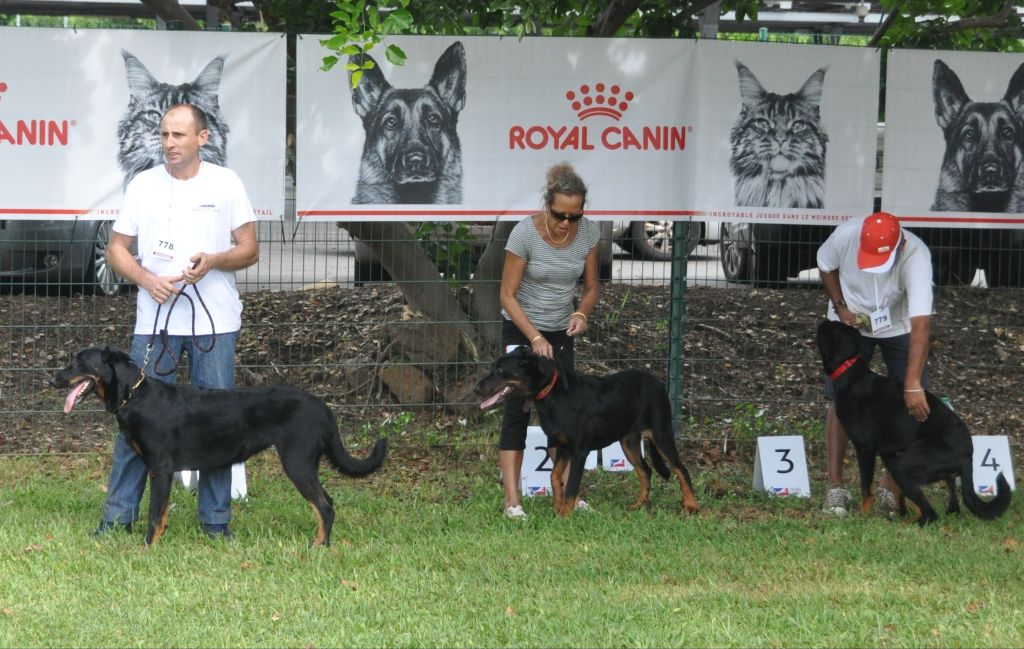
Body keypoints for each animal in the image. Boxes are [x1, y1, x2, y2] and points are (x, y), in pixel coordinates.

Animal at [51, 345, 387, 544]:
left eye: (78, 361)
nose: (53, 380)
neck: (134, 396)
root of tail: (323, 408)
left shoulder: (160, 468)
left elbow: (153, 515)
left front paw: (147, 548)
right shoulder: (162, 472)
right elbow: (162, 514)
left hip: (298, 462)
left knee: (325, 507)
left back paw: (319, 547)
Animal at [475, 345, 700, 517]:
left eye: (500, 370)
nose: (476, 389)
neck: (553, 395)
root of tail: (658, 382)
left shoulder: (579, 451)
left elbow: (571, 486)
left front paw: (564, 515)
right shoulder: (561, 445)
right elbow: (555, 477)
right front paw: (557, 508)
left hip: (661, 432)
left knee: (680, 468)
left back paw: (691, 506)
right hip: (628, 441)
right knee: (645, 470)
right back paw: (639, 505)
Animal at [815, 319, 1007, 524]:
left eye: (827, 328)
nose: (823, 320)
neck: (850, 372)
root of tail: (967, 452)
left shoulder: (865, 448)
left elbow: (866, 487)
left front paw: (864, 517)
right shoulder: (888, 452)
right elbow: (899, 496)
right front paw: (898, 511)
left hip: (903, 467)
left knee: (931, 514)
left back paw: (910, 524)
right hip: (919, 469)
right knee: (950, 503)